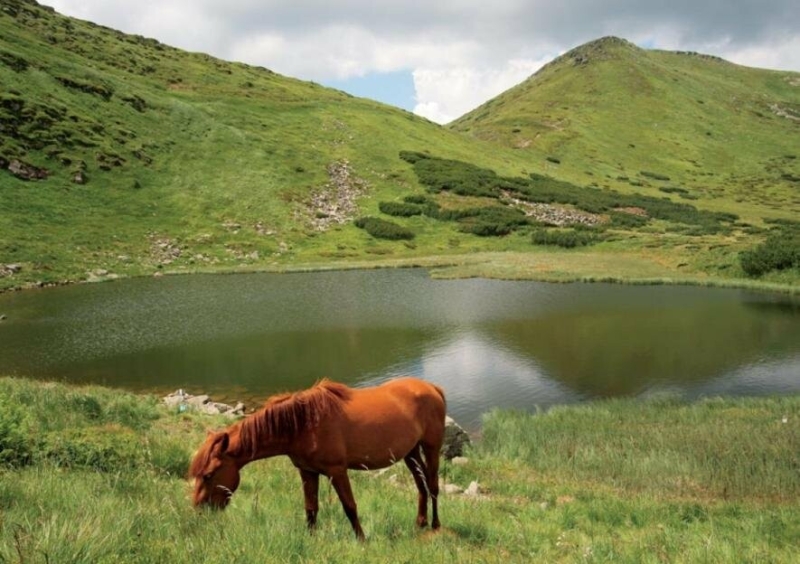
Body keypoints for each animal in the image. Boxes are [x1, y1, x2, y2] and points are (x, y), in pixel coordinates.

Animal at [191, 376, 446, 540]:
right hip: (410, 453)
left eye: (209, 474)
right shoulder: (307, 471)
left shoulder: (337, 471)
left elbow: (349, 507)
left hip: (431, 447)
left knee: (433, 486)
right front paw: (311, 538)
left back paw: (435, 526)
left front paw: (361, 540)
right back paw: (420, 523)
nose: (199, 511)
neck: (303, 425)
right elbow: (311, 508)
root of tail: (433, 388)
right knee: (421, 485)